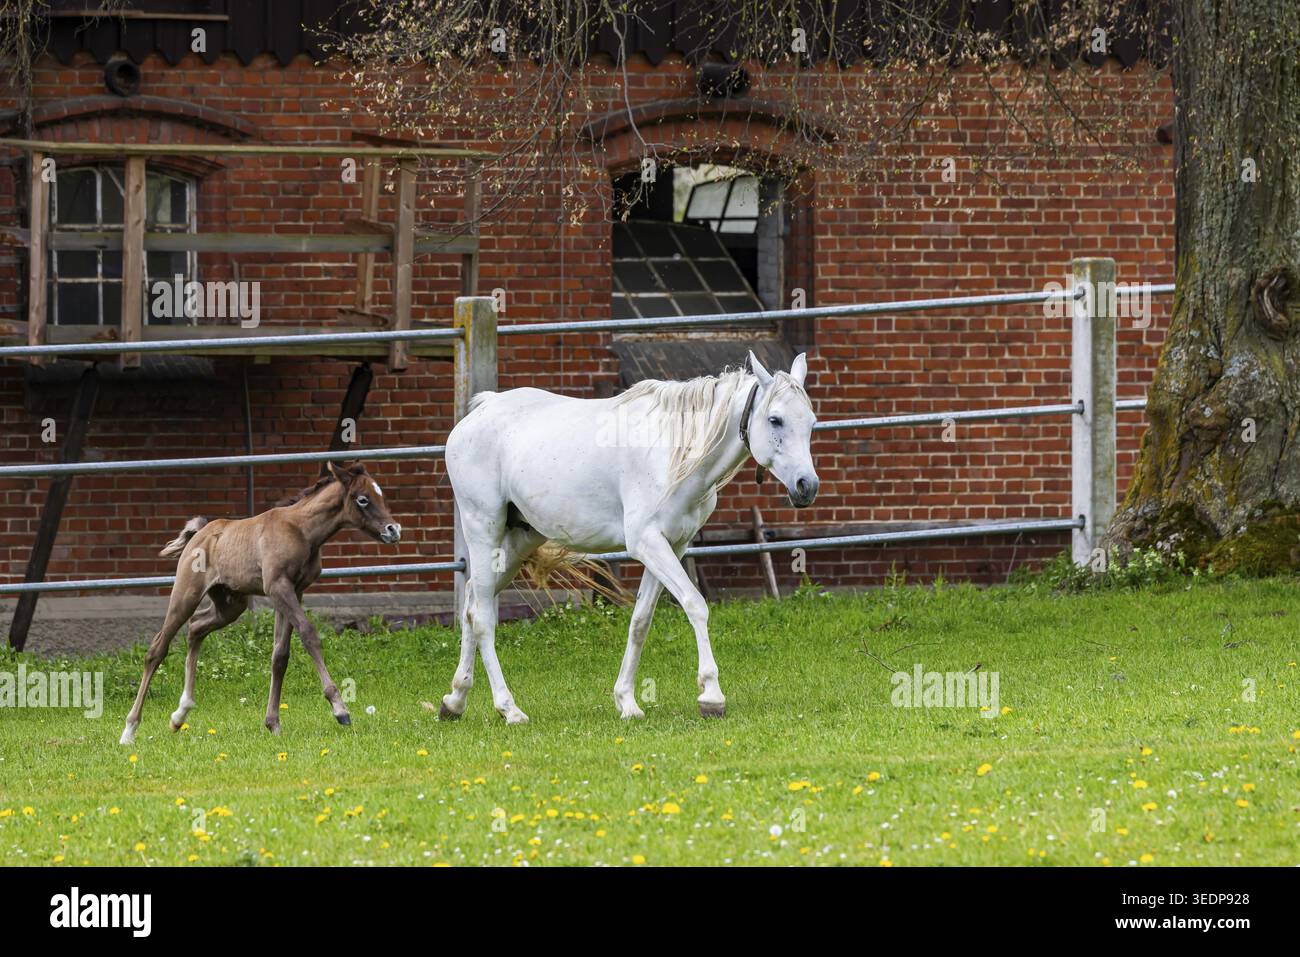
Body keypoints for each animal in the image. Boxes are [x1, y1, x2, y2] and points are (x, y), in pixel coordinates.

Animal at [118, 462, 401, 745]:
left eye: (381, 495)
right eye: (363, 499)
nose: (394, 530)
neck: (302, 530)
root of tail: (200, 533)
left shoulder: (294, 591)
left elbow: (280, 655)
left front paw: (273, 723)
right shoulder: (277, 587)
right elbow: (309, 634)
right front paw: (340, 709)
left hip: (231, 605)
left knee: (196, 627)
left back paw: (180, 714)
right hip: (186, 594)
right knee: (157, 649)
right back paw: (129, 730)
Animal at [440, 351, 819, 724]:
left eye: (812, 422)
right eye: (775, 420)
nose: (807, 486)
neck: (676, 451)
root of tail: (480, 411)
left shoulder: (672, 547)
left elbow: (640, 621)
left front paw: (627, 701)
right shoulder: (647, 543)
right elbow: (695, 604)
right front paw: (711, 696)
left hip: (518, 542)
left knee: (473, 600)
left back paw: (455, 700)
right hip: (484, 529)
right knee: (483, 617)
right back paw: (509, 708)